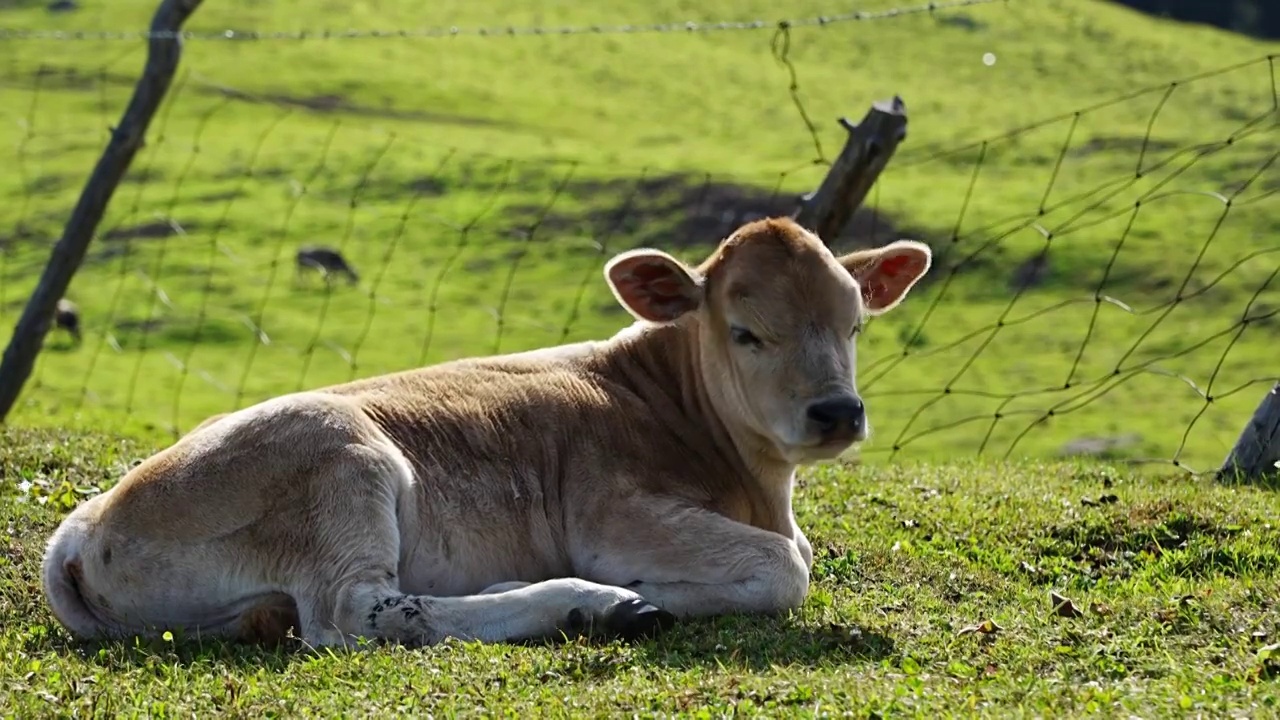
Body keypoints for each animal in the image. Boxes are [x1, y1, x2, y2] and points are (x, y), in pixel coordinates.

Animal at [42, 215, 931, 648]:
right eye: (746, 333)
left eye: (854, 324)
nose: (836, 412)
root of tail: (87, 523)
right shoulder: (615, 512)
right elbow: (784, 567)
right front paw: (657, 589)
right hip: (339, 461)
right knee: (351, 615)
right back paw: (598, 604)